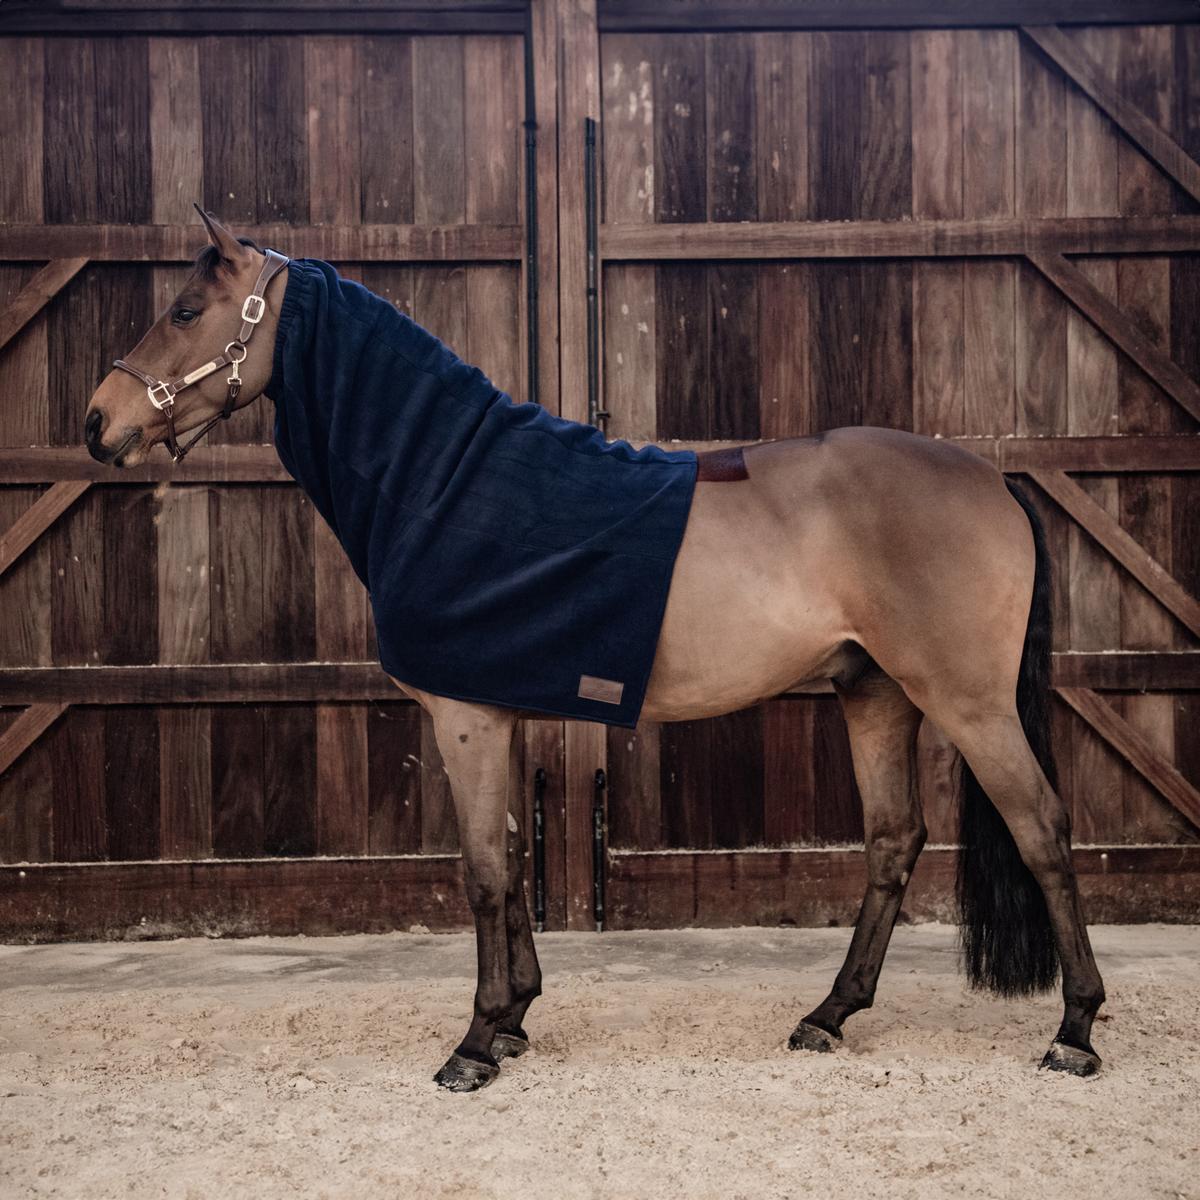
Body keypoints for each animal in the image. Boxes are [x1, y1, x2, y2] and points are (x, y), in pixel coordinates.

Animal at [84, 209, 1105, 1092]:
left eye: (185, 311)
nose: (98, 423)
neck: (449, 480)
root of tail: (994, 478)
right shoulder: (495, 713)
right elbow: (510, 860)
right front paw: (515, 1019)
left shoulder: (465, 718)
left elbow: (483, 874)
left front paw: (474, 1044)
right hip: (877, 693)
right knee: (894, 841)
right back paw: (829, 1015)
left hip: (967, 701)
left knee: (1042, 831)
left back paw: (1074, 1031)